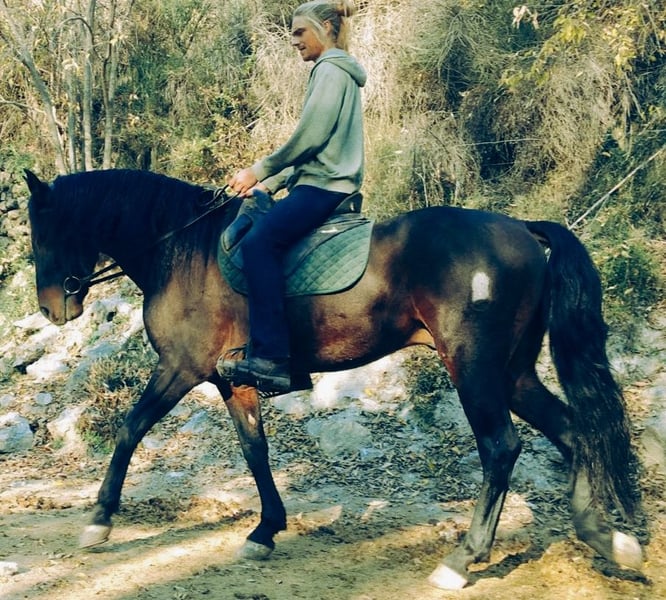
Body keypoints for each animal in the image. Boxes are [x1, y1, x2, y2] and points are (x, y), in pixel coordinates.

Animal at [24, 168, 643, 590]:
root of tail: (522, 230)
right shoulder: (231, 381)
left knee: (502, 447)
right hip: (512, 372)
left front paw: (99, 521)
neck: (181, 252)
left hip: (474, 368)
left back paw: (462, 560)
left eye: (43, 232)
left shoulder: (181, 367)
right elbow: (255, 451)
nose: (53, 309)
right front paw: (265, 531)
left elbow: (129, 429)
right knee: (573, 430)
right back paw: (606, 537)